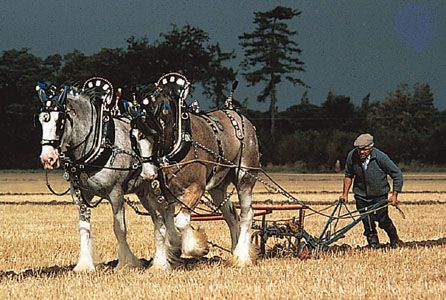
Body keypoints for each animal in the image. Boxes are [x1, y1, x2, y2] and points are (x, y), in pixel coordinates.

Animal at [35, 78, 180, 272]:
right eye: (41, 121)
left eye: (60, 121)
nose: (48, 158)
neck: (98, 143)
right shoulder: (80, 196)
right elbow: (84, 228)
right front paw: (84, 265)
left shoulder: (116, 193)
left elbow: (119, 228)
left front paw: (126, 263)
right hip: (144, 192)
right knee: (159, 220)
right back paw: (161, 260)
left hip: (157, 188)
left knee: (165, 217)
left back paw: (167, 257)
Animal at [131, 73, 260, 268]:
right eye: (134, 137)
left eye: (153, 134)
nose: (147, 174)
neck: (178, 143)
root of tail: (237, 114)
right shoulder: (160, 195)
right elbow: (162, 227)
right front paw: (163, 261)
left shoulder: (196, 189)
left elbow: (180, 222)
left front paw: (197, 247)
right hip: (218, 188)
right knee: (231, 216)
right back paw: (234, 250)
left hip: (245, 177)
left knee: (247, 214)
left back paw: (241, 256)